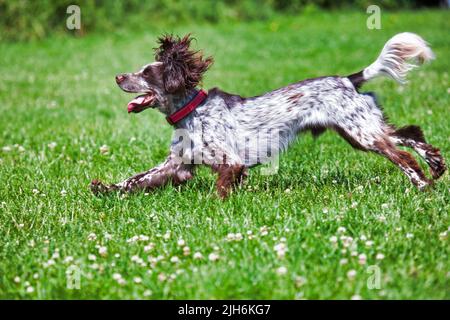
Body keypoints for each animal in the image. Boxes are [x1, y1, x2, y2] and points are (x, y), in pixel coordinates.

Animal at [89, 32, 444, 198]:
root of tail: (348, 78)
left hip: (362, 133)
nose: (118, 77)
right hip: (360, 130)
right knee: (410, 134)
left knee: (402, 155)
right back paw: (436, 166)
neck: (192, 112)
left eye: (146, 73)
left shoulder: (230, 163)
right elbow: (135, 179)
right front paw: (103, 188)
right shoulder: (176, 165)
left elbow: (221, 190)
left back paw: (422, 184)